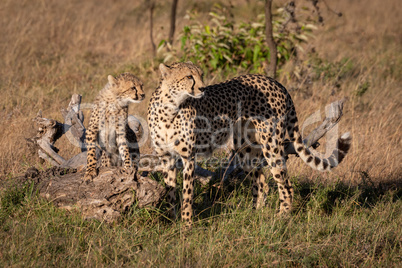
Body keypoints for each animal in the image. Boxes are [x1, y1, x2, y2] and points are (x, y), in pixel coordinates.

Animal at [148, 61, 352, 227]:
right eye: (189, 76)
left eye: (201, 75)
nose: (203, 88)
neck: (170, 108)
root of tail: (274, 81)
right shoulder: (166, 157)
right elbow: (170, 191)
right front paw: (172, 220)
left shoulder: (188, 157)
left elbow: (187, 193)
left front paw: (187, 225)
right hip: (246, 149)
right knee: (262, 183)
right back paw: (254, 215)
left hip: (271, 145)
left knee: (285, 184)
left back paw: (281, 218)